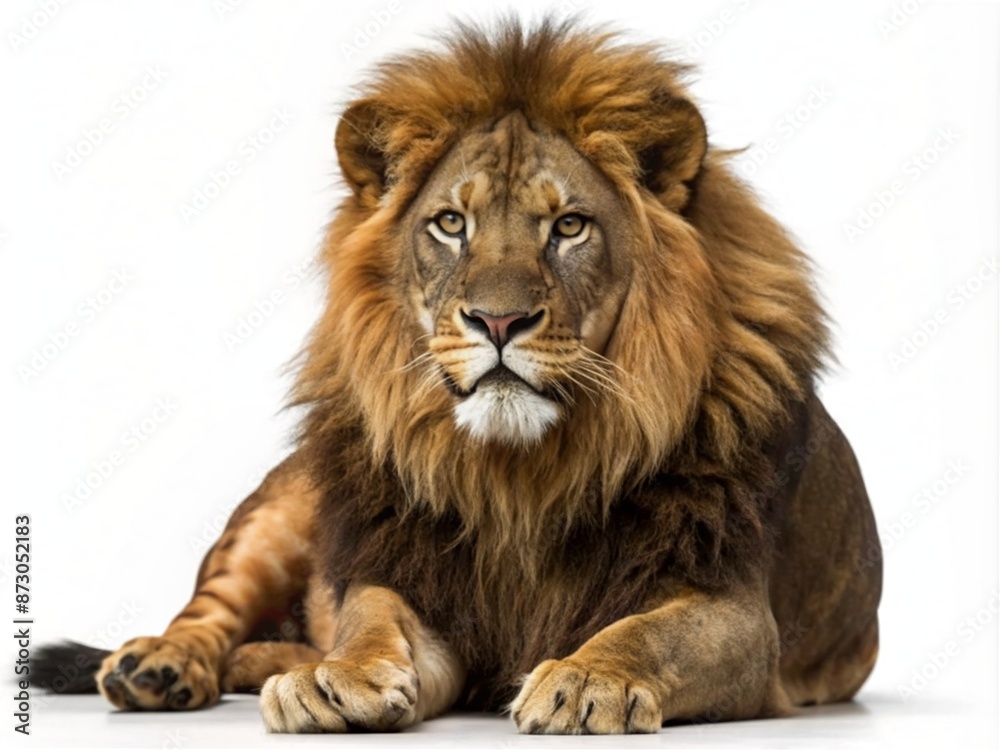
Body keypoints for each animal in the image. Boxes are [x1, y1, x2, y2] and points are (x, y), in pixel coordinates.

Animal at [34, 19, 881, 735]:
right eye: (450, 223)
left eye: (568, 225)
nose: (498, 323)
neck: (520, 478)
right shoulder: (417, 583)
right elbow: (369, 619)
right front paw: (334, 678)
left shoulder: (736, 611)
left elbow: (647, 634)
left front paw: (586, 679)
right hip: (276, 516)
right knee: (209, 611)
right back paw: (159, 667)